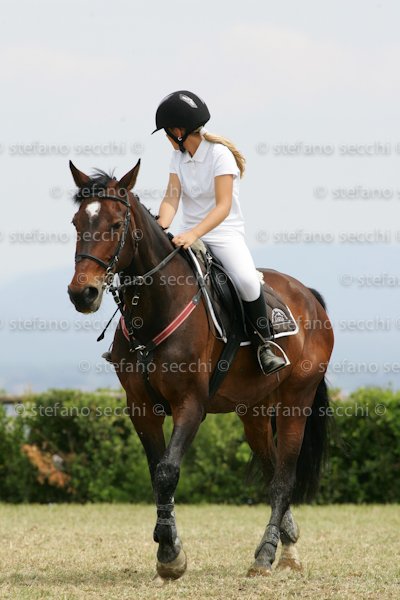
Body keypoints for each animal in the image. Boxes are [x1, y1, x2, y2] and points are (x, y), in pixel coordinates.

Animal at [67, 160, 334, 581]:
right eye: (77, 222)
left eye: (115, 224)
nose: (83, 293)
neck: (156, 305)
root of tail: (309, 296)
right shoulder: (140, 407)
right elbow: (157, 474)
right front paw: (171, 548)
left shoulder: (191, 404)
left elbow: (167, 472)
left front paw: (169, 554)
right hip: (254, 410)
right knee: (271, 467)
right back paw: (287, 544)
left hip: (296, 401)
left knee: (283, 478)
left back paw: (265, 554)